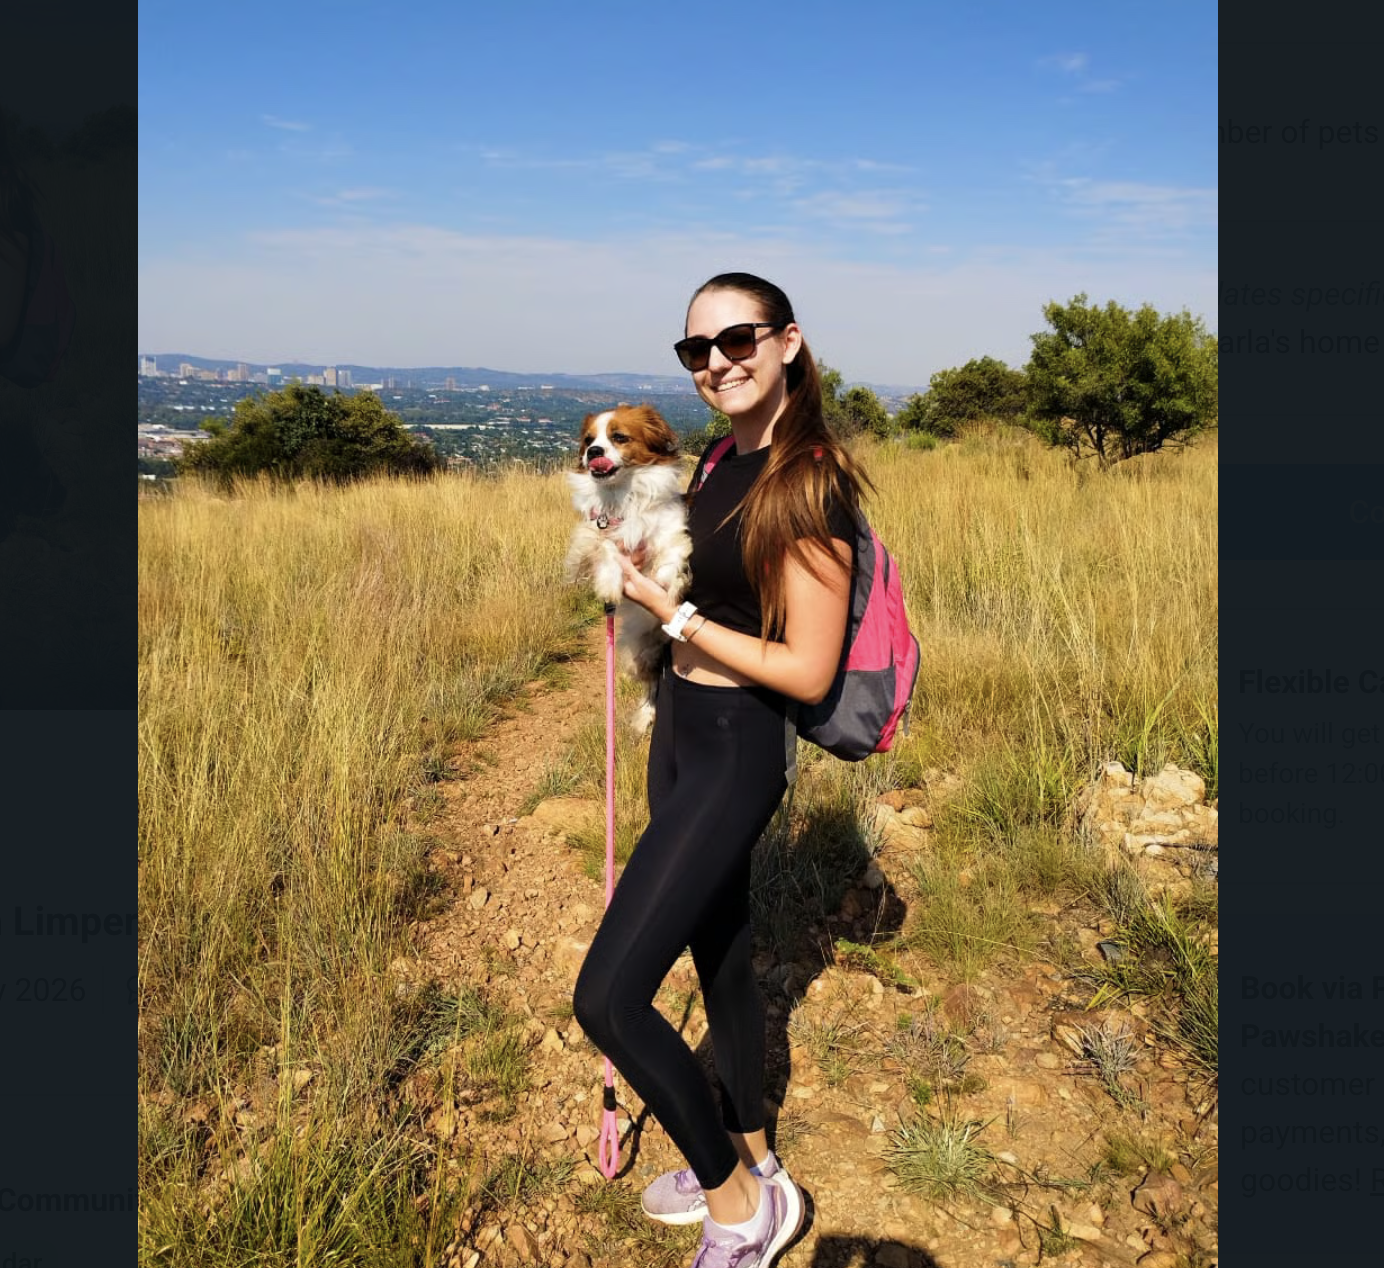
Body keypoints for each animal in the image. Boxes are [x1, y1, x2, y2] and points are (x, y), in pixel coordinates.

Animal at [565, 404, 692, 735]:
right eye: (588, 440)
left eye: (619, 437)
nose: (594, 452)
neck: (623, 496)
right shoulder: (595, 532)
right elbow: (607, 548)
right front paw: (610, 583)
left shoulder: (670, 531)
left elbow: (671, 558)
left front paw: (671, 586)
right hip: (640, 655)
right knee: (651, 686)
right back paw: (645, 717)